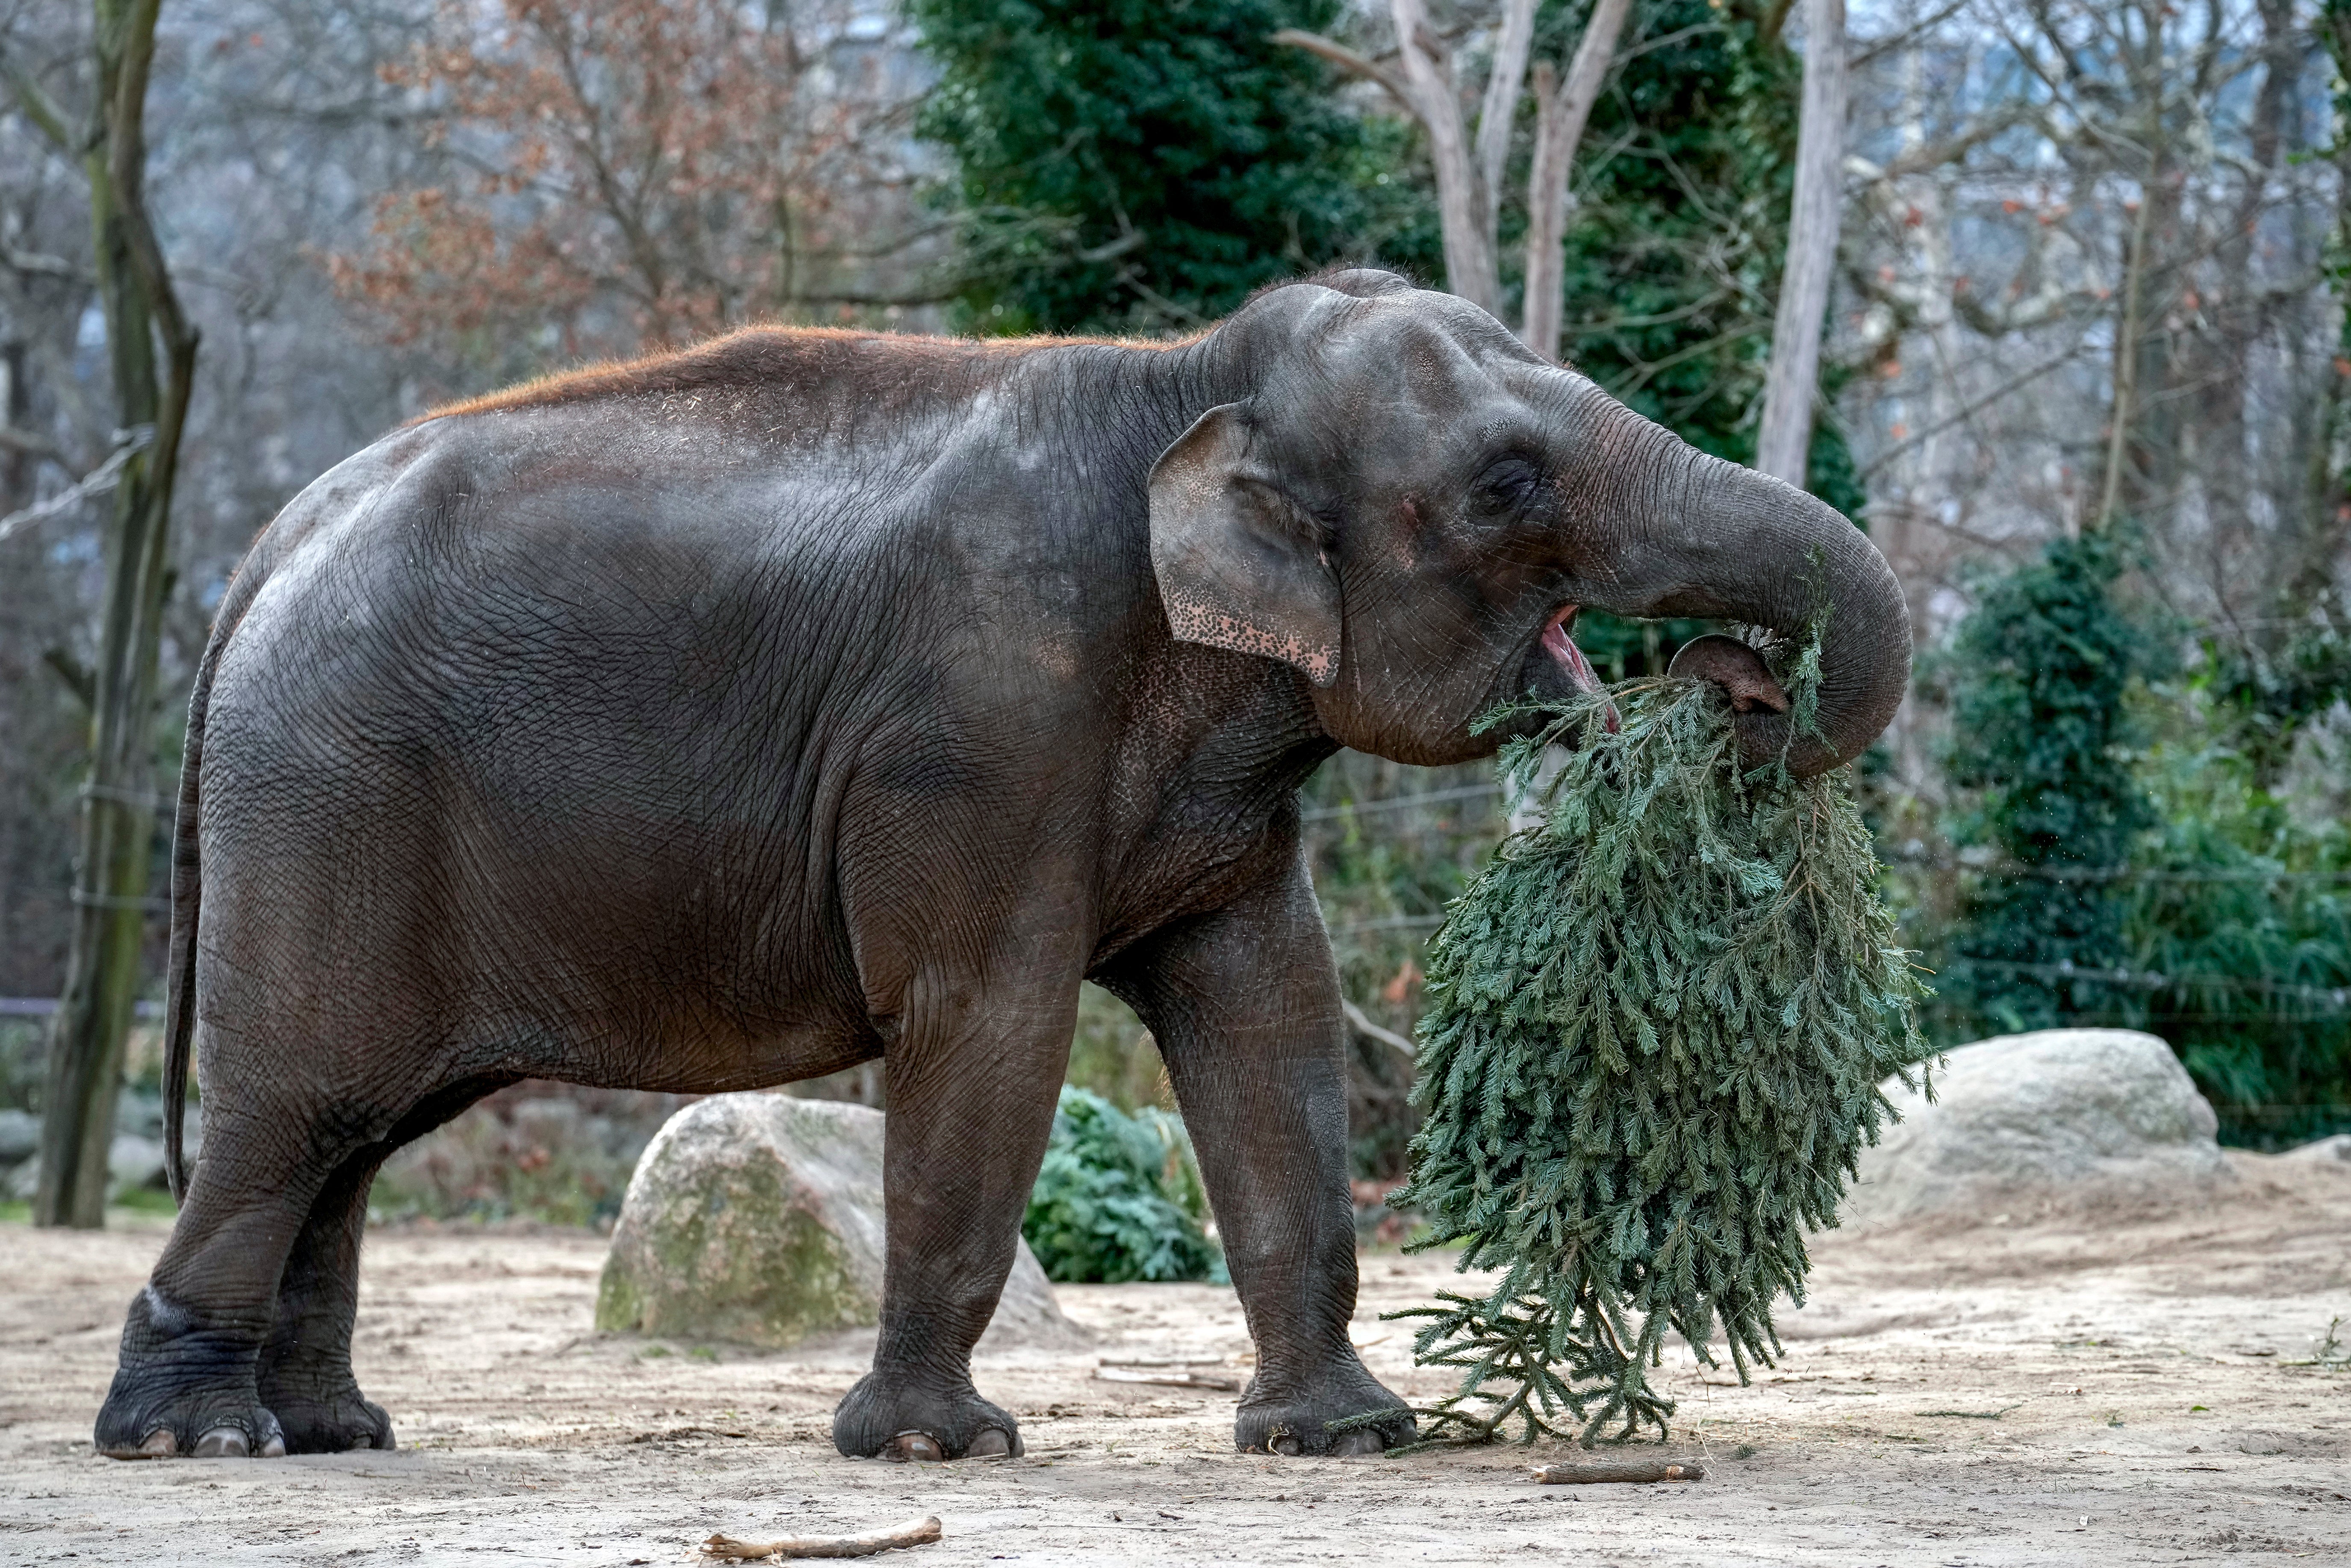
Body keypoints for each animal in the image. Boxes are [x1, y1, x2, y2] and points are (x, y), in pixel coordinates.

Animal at [94, 268, 1909, 1464]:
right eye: (1507, 482)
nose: (1737, 690)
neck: (1187, 380)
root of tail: (266, 547)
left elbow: (1271, 1017)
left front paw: (1345, 1439)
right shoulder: (981, 718)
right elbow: (993, 1021)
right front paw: (934, 1448)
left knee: (352, 1133)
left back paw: (336, 1430)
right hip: (329, 800)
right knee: (298, 1107)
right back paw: (198, 1445)